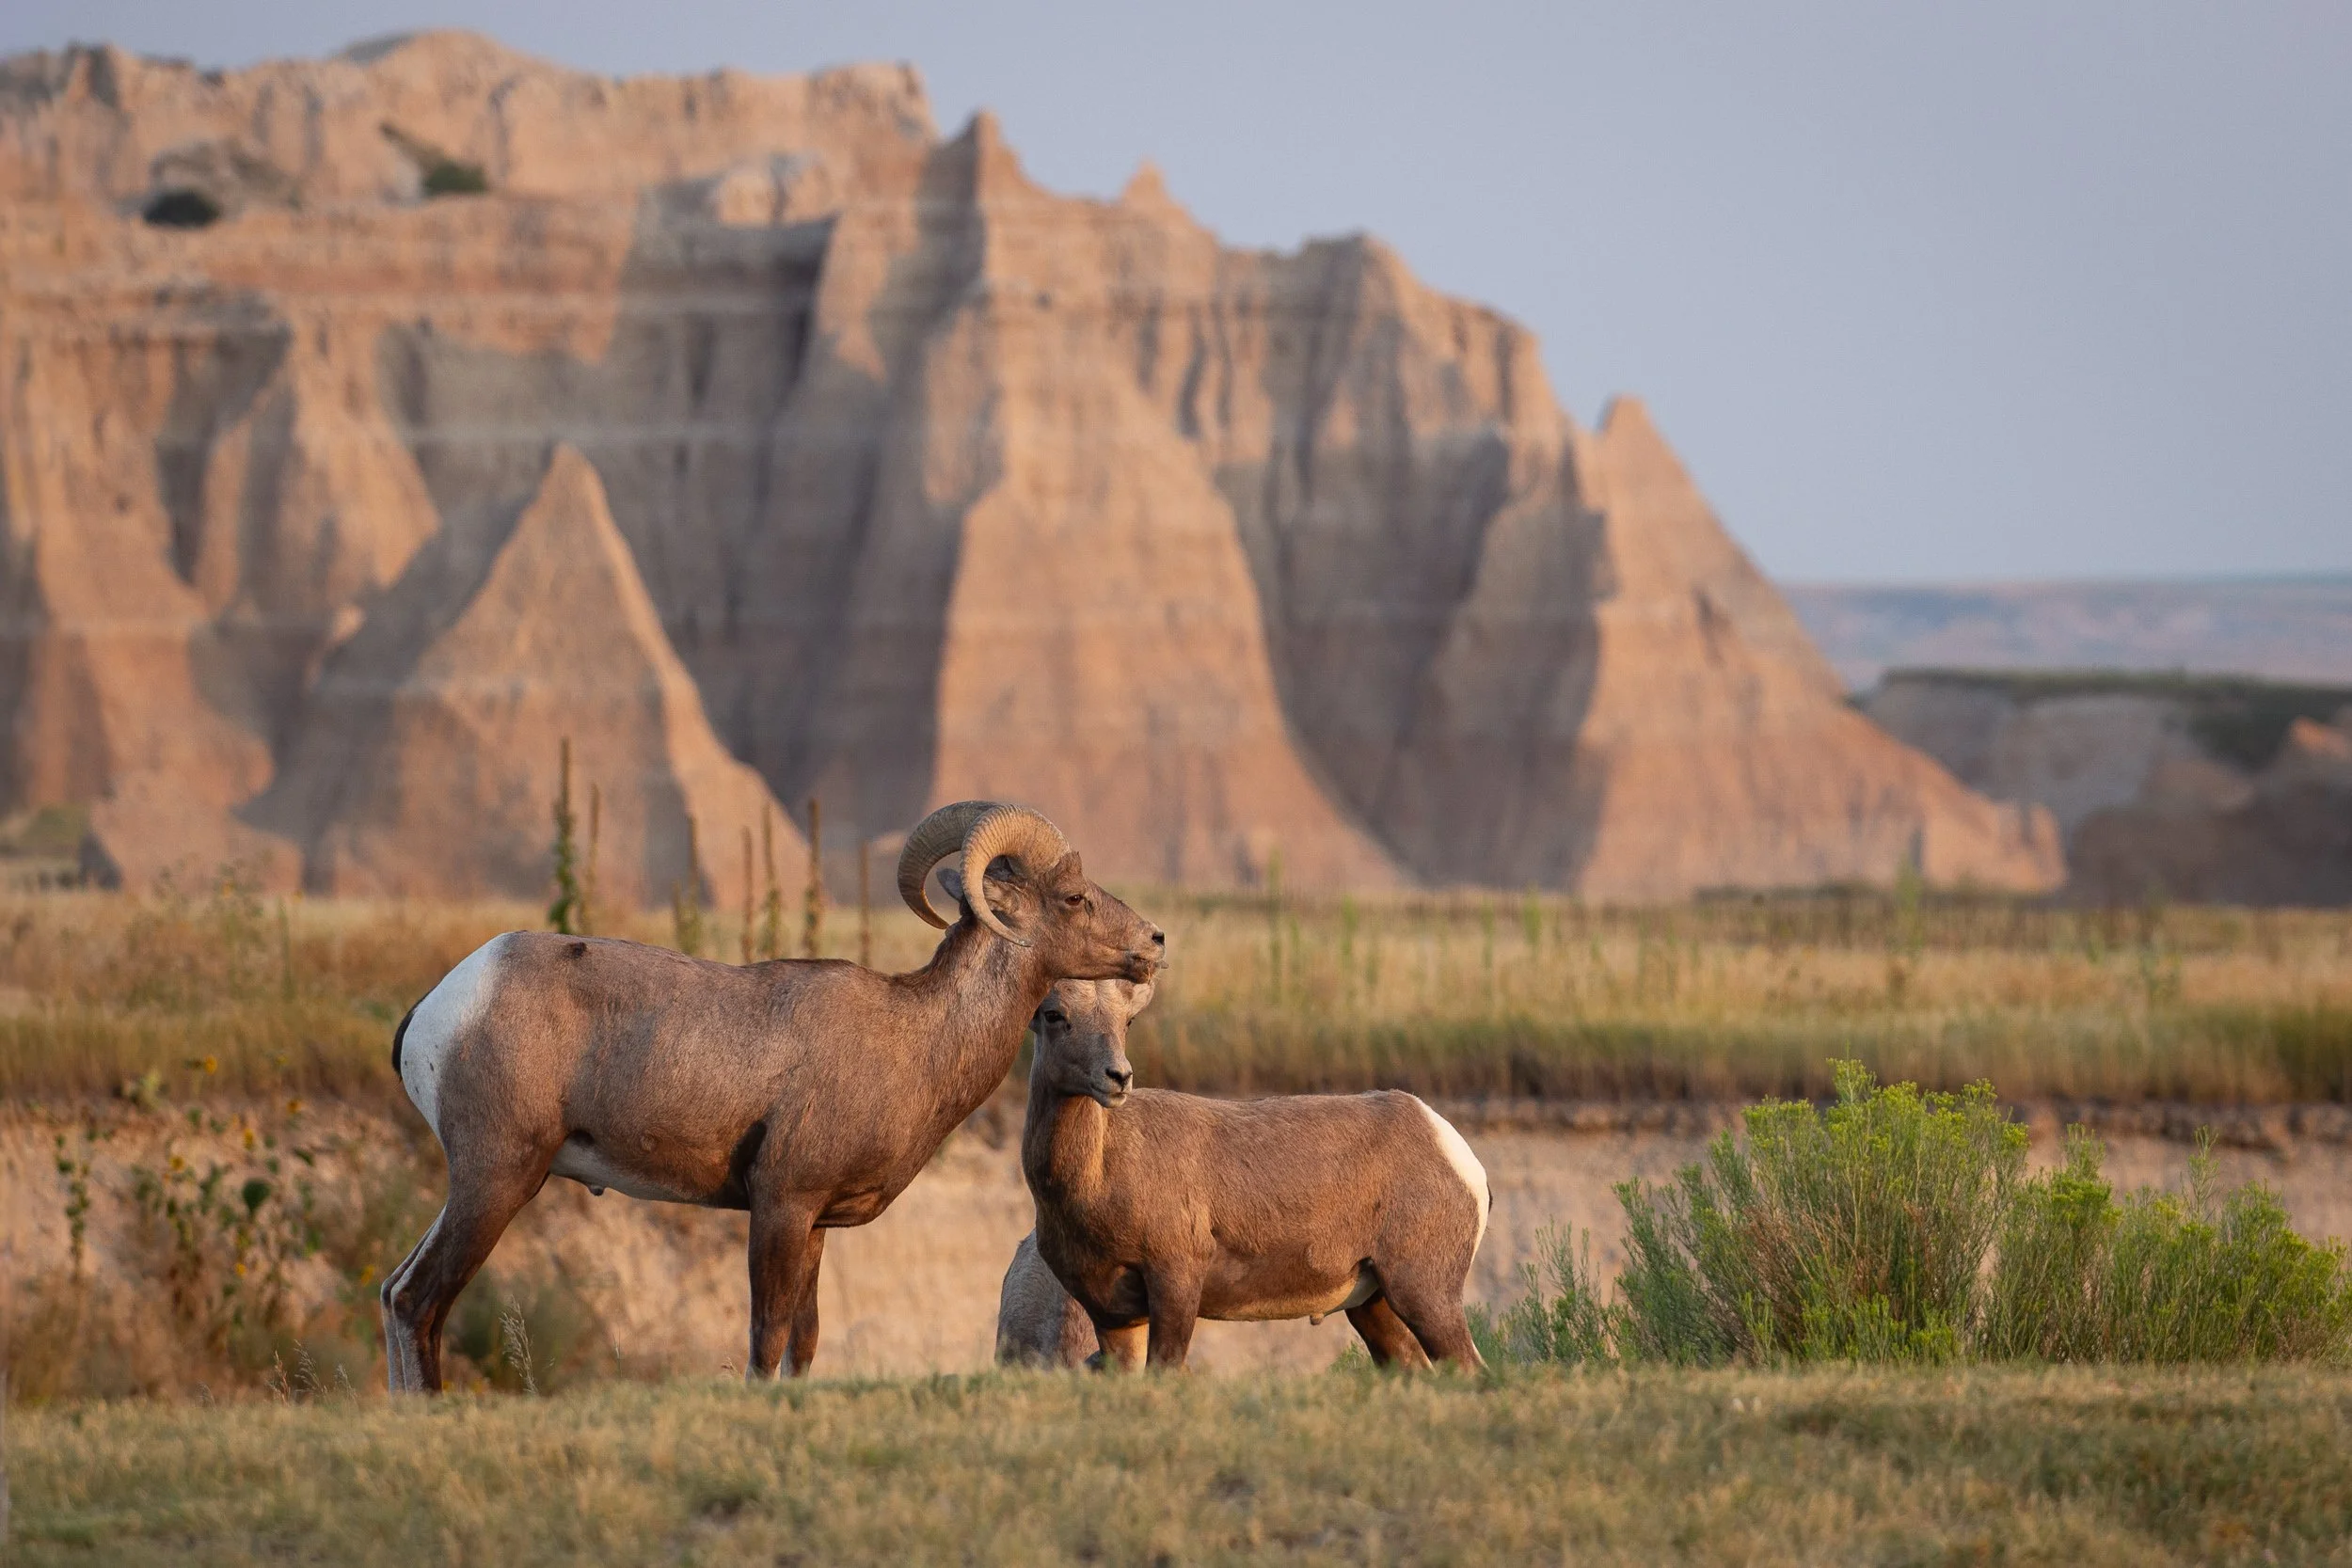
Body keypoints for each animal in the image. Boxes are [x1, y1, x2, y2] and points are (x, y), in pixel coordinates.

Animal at [379, 801, 1164, 1391]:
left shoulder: (814, 1224)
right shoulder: (780, 1207)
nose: (1155, 940)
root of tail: (440, 1004)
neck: (914, 1036)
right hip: (498, 1179)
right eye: (1073, 897)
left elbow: (802, 1343)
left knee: (393, 1292)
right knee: (420, 1300)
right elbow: (766, 1337)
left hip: (481, 1183)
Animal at [1017, 977, 1490, 1371]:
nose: (1117, 1077)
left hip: (1425, 1294)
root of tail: (1455, 1149)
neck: (1096, 1173)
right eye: (1054, 1015)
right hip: (1373, 1307)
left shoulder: (1175, 1283)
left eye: (1127, 1020)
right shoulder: (1113, 1316)